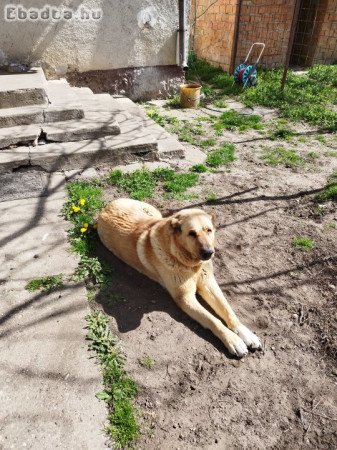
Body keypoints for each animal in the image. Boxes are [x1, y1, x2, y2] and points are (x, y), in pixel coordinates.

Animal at [97, 199, 260, 356]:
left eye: (209, 230)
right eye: (192, 233)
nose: (209, 253)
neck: (190, 264)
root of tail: (105, 208)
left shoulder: (208, 282)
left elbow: (227, 310)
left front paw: (245, 333)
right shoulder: (185, 298)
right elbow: (213, 320)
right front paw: (233, 340)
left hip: (153, 213)